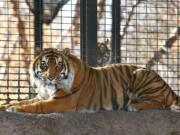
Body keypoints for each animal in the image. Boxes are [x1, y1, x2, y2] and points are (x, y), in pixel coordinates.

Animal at [0, 47, 180, 113]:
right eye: (44, 65)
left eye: (58, 65)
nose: (50, 77)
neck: (46, 87)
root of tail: (167, 87)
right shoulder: (42, 95)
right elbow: (25, 101)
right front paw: (6, 105)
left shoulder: (61, 101)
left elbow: (37, 106)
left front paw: (14, 109)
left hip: (140, 73)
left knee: (161, 103)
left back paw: (133, 106)